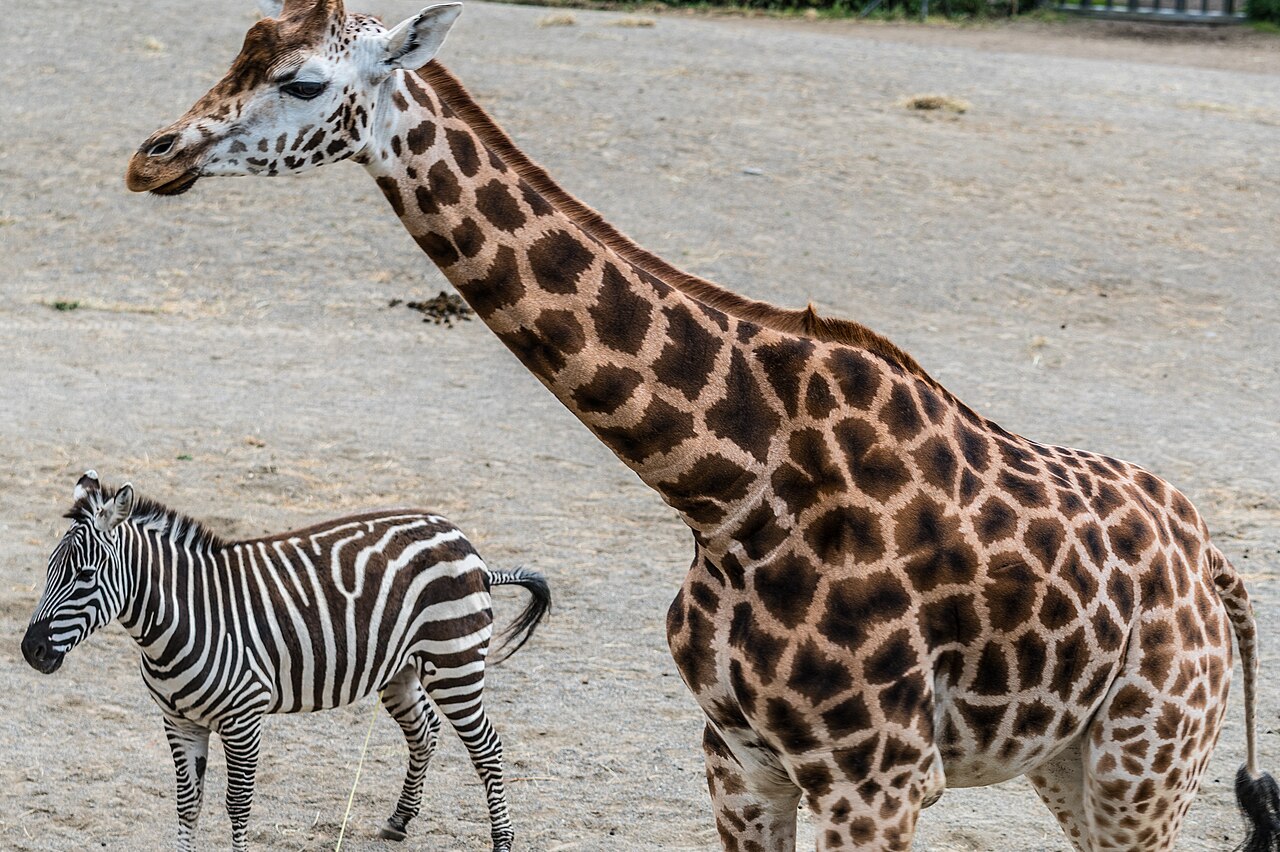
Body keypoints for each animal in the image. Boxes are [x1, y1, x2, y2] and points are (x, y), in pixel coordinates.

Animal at [21, 471, 550, 852]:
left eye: (85, 576)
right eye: (49, 571)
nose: (31, 650)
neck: (183, 617)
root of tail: (462, 539)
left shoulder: (243, 718)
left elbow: (237, 805)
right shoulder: (178, 721)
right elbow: (187, 804)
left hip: (455, 662)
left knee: (487, 748)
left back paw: (502, 841)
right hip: (398, 668)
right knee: (425, 730)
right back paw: (399, 821)